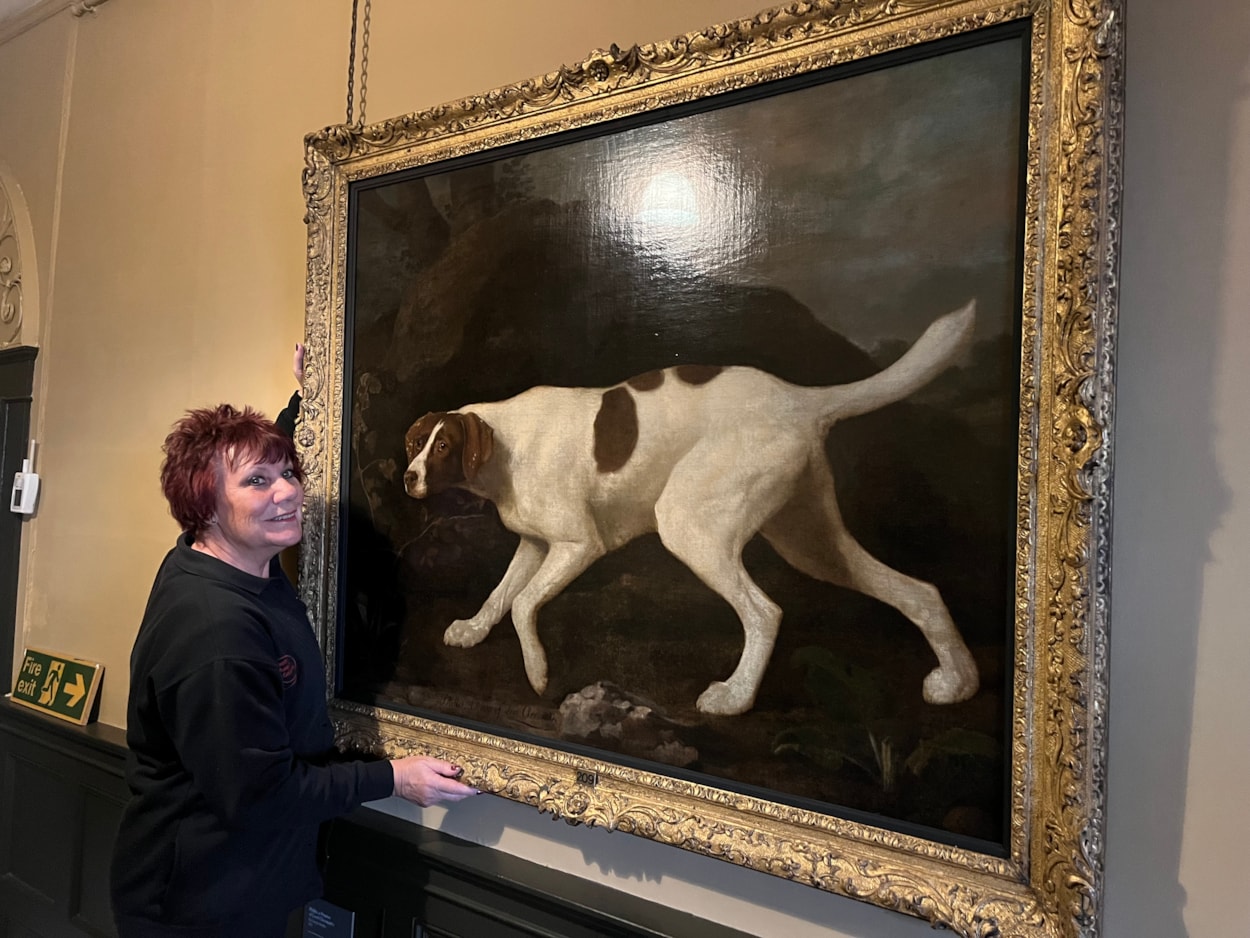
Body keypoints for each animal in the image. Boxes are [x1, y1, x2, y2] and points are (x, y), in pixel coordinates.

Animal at [405, 305, 980, 715]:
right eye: (415, 442)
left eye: (443, 446)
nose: (408, 477)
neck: (506, 445)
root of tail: (799, 400)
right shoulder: (536, 545)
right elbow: (501, 594)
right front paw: (473, 630)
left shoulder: (577, 545)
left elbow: (523, 603)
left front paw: (538, 673)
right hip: (811, 542)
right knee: (920, 592)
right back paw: (959, 683)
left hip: (692, 526)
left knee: (764, 612)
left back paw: (735, 699)